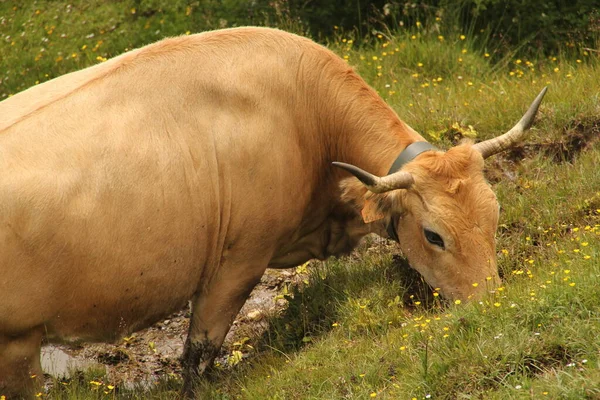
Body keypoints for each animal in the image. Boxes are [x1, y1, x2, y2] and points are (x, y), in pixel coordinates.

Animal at [0, 27, 544, 396]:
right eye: (434, 235)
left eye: (495, 216)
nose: (493, 305)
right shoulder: (239, 261)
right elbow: (199, 351)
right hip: (18, 345)